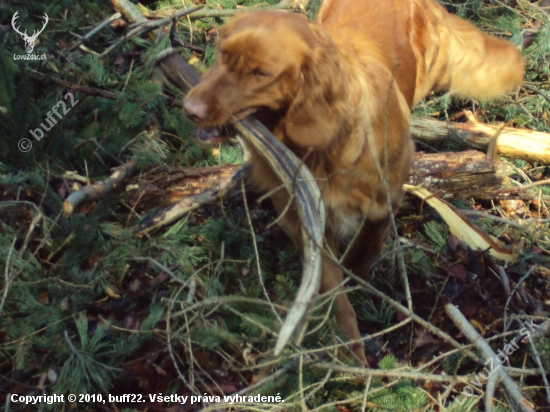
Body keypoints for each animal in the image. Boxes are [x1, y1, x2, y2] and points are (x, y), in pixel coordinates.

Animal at [183, 0, 524, 364]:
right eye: (222, 54)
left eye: (260, 73)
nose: (189, 109)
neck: (321, 147)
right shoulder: (307, 219)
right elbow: (333, 288)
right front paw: (350, 350)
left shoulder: (388, 193)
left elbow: (366, 241)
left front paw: (356, 277)